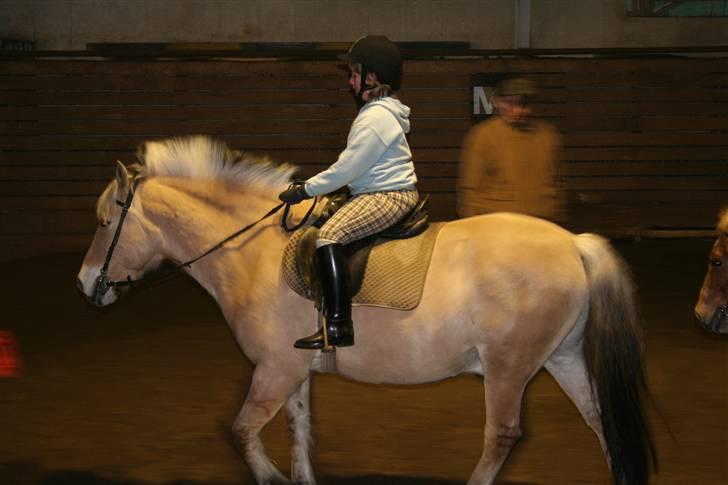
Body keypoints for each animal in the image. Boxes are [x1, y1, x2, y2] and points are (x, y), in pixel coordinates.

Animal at [77, 135, 656, 484]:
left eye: (106, 222)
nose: (86, 284)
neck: (253, 253)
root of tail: (573, 244)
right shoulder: (293, 369)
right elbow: (299, 430)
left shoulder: (273, 369)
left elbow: (242, 432)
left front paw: (270, 477)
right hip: (562, 357)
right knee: (601, 422)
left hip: (509, 368)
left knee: (503, 436)